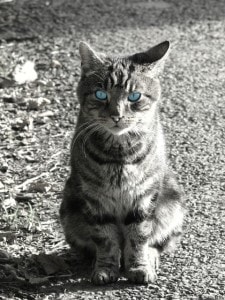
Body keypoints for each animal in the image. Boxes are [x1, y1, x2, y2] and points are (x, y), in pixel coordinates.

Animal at [59, 40, 185, 286]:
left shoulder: (144, 196)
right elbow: (105, 239)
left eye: (134, 97)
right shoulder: (93, 197)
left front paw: (138, 267)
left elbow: (139, 235)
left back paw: (149, 258)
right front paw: (105, 269)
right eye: (100, 94)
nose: (116, 115)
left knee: (159, 242)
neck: (119, 156)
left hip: (172, 202)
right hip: (69, 209)